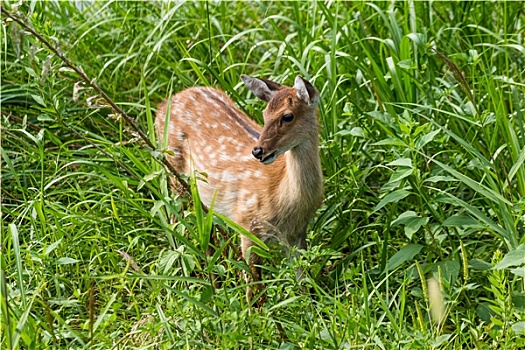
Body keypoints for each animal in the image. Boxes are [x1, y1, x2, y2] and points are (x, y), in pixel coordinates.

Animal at [154, 76, 322, 292]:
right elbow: (255, 286)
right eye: (264, 114)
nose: (258, 151)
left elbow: (302, 283)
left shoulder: (297, 233)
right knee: (176, 221)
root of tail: (162, 105)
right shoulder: (247, 223)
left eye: (287, 116)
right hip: (174, 172)